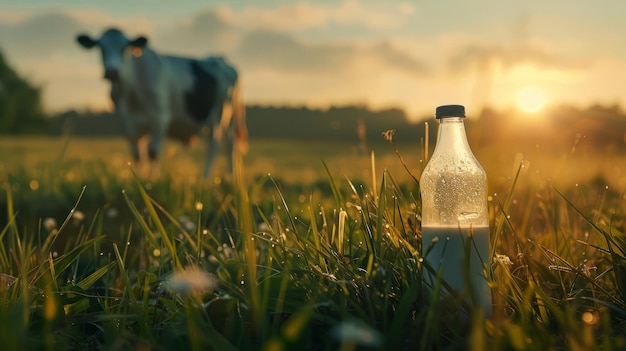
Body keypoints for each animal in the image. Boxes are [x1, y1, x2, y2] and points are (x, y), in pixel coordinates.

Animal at [75, 28, 246, 179]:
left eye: (125, 48)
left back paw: (205, 177)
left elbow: (152, 151)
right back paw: (231, 175)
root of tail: (220, 59)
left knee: (215, 145)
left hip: (220, 115)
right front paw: (140, 178)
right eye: (101, 48)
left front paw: (153, 179)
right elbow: (137, 154)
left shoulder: (161, 118)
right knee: (229, 144)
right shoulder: (126, 123)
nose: (112, 72)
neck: (131, 94)